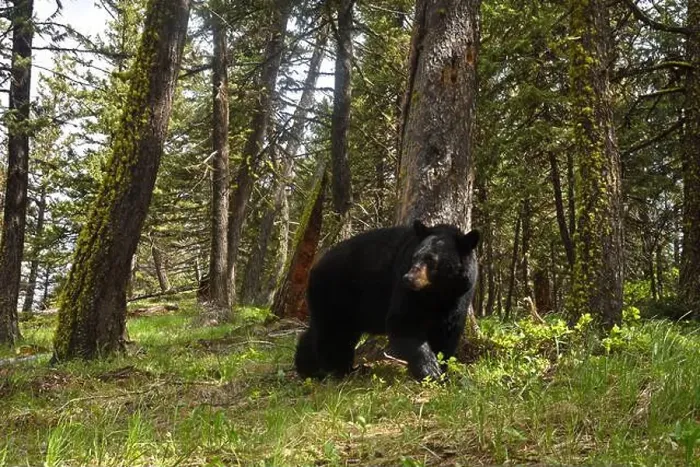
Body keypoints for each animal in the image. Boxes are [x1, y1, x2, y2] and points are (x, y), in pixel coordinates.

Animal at [294, 220, 480, 381]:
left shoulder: (459, 296)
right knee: (334, 332)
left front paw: (441, 370)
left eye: (432, 260)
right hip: (337, 292)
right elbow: (403, 321)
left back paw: (309, 368)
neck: (436, 293)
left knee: (322, 331)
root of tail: (316, 266)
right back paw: (338, 370)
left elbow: (447, 331)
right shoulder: (406, 290)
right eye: (415, 257)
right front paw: (429, 369)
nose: (408, 278)